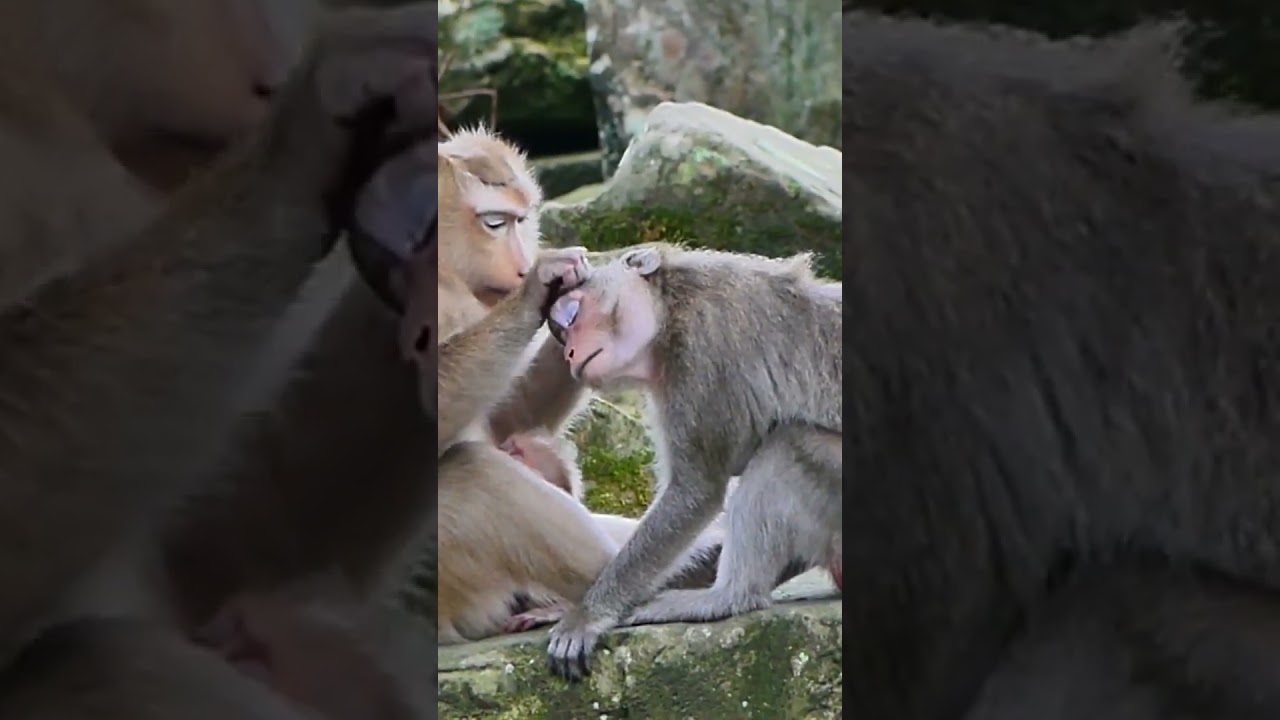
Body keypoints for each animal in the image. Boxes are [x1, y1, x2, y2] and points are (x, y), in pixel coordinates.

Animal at [532, 243, 842, 680]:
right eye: (561, 336)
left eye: (571, 314)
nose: (570, 353)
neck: (670, 305)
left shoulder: (703, 349)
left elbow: (696, 491)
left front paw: (586, 615)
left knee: (787, 445)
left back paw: (726, 598)